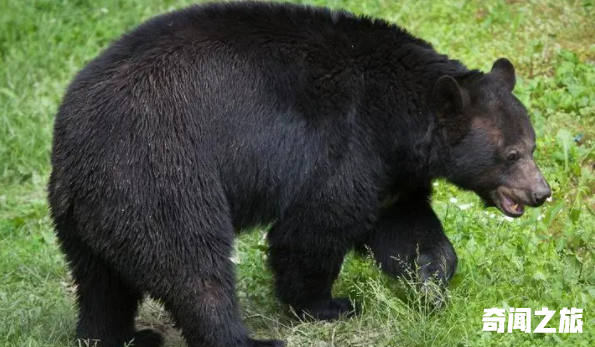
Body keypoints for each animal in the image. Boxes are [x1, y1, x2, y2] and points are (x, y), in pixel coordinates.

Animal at [49, 1, 552, 346]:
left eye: (532, 146)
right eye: (510, 154)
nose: (542, 192)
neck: (399, 119)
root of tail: (74, 151)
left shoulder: (389, 172)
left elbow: (404, 225)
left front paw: (429, 280)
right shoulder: (344, 142)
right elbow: (316, 225)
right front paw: (327, 305)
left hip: (89, 214)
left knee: (101, 284)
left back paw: (120, 335)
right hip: (160, 175)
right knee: (193, 268)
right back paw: (247, 339)